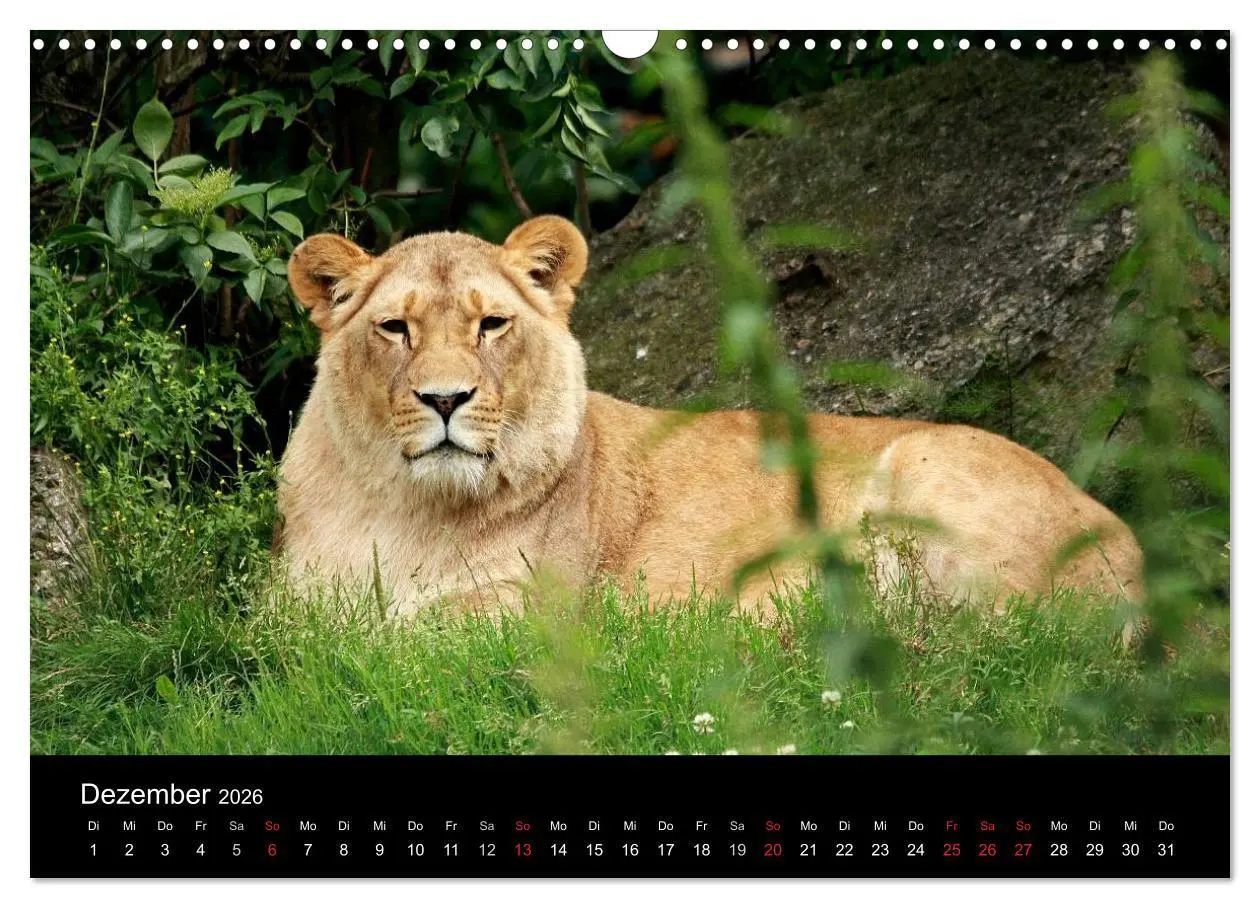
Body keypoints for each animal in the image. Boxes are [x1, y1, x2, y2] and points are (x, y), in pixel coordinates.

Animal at [276, 215, 1143, 616]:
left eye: (492, 325)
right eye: (396, 329)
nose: (445, 399)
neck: (411, 514)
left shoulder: (525, 617)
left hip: (930, 470)